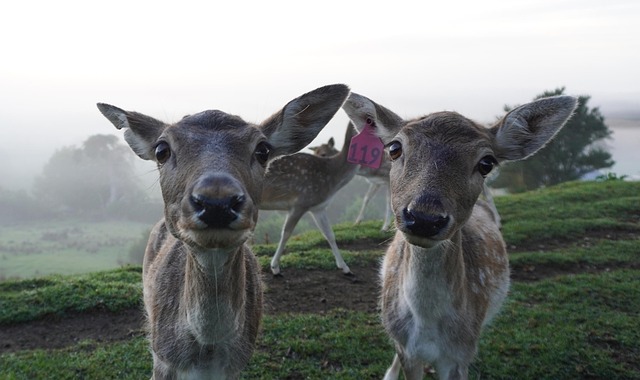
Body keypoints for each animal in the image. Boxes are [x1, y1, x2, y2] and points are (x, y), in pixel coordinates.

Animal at [96, 84, 350, 380]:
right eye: (161, 149)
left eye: (263, 150)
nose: (216, 202)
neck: (206, 356)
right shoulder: (162, 359)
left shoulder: (235, 366)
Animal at [262, 123, 360, 274]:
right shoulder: (300, 202)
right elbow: (286, 233)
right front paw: (275, 267)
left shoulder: (318, 207)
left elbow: (329, 234)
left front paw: (345, 267)